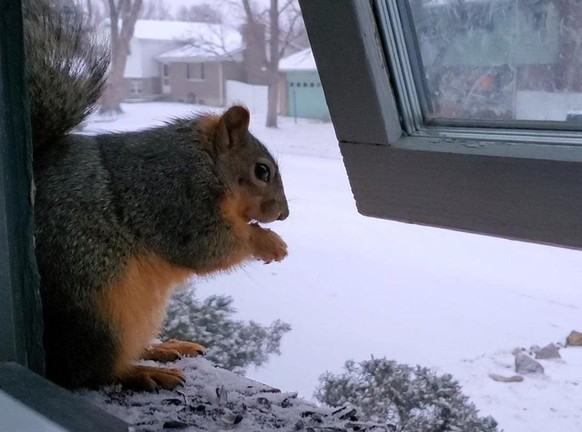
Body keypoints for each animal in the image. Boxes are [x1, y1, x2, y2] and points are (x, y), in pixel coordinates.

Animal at [24, 0, 290, 392]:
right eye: (262, 171)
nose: (283, 214)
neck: (205, 161)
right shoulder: (174, 198)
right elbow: (208, 246)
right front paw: (267, 242)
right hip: (101, 310)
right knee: (90, 371)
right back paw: (141, 371)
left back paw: (163, 348)